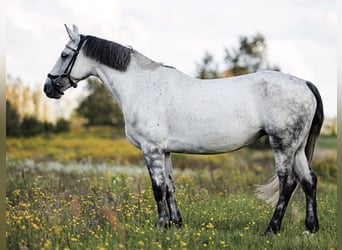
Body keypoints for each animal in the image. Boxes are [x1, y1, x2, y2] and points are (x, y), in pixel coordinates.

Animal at [43, 24, 324, 234]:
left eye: (65, 55)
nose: (48, 88)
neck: (140, 85)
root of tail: (304, 83)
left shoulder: (151, 150)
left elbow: (157, 188)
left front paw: (161, 226)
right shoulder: (165, 151)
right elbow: (170, 186)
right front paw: (175, 224)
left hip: (282, 145)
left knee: (288, 183)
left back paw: (271, 229)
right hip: (297, 147)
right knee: (308, 181)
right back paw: (310, 228)